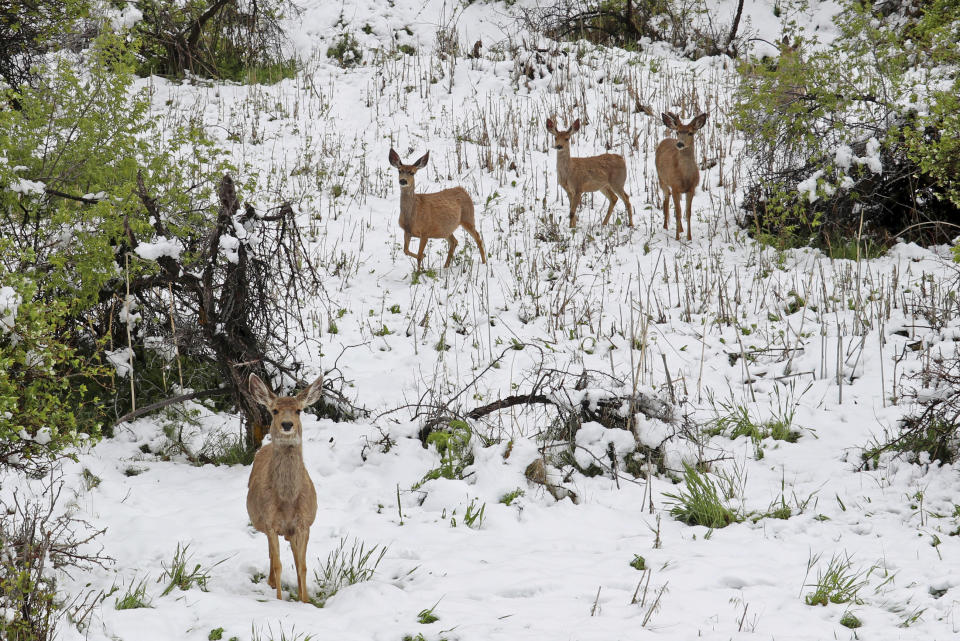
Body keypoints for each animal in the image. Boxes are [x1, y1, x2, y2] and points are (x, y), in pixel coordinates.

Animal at [246, 372, 324, 604]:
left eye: (299, 410)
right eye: (274, 410)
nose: (287, 424)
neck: (288, 501)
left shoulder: (304, 524)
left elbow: (302, 566)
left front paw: (304, 600)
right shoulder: (270, 523)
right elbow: (279, 565)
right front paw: (280, 601)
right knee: (273, 558)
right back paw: (272, 584)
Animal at [656, 111, 708, 241]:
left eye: (690, 132)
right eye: (677, 132)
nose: (679, 143)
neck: (685, 176)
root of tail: (665, 140)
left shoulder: (691, 188)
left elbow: (687, 213)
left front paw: (689, 237)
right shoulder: (674, 187)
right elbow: (679, 212)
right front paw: (677, 238)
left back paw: (681, 229)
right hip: (661, 179)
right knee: (666, 199)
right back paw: (666, 226)